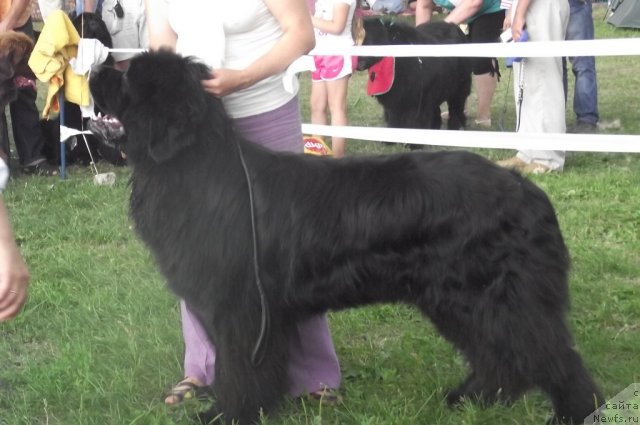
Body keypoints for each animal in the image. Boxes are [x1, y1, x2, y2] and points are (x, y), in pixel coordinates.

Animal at [89, 51, 600, 422]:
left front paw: (226, 415)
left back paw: (573, 412)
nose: (93, 67)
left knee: (549, 354)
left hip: (494, 296)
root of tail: (526, 190)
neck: (191, 167)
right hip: (459, 299)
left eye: (127, 76)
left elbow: (239, 369)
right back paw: (471, 398)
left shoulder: (240, 308)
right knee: (500, 354)